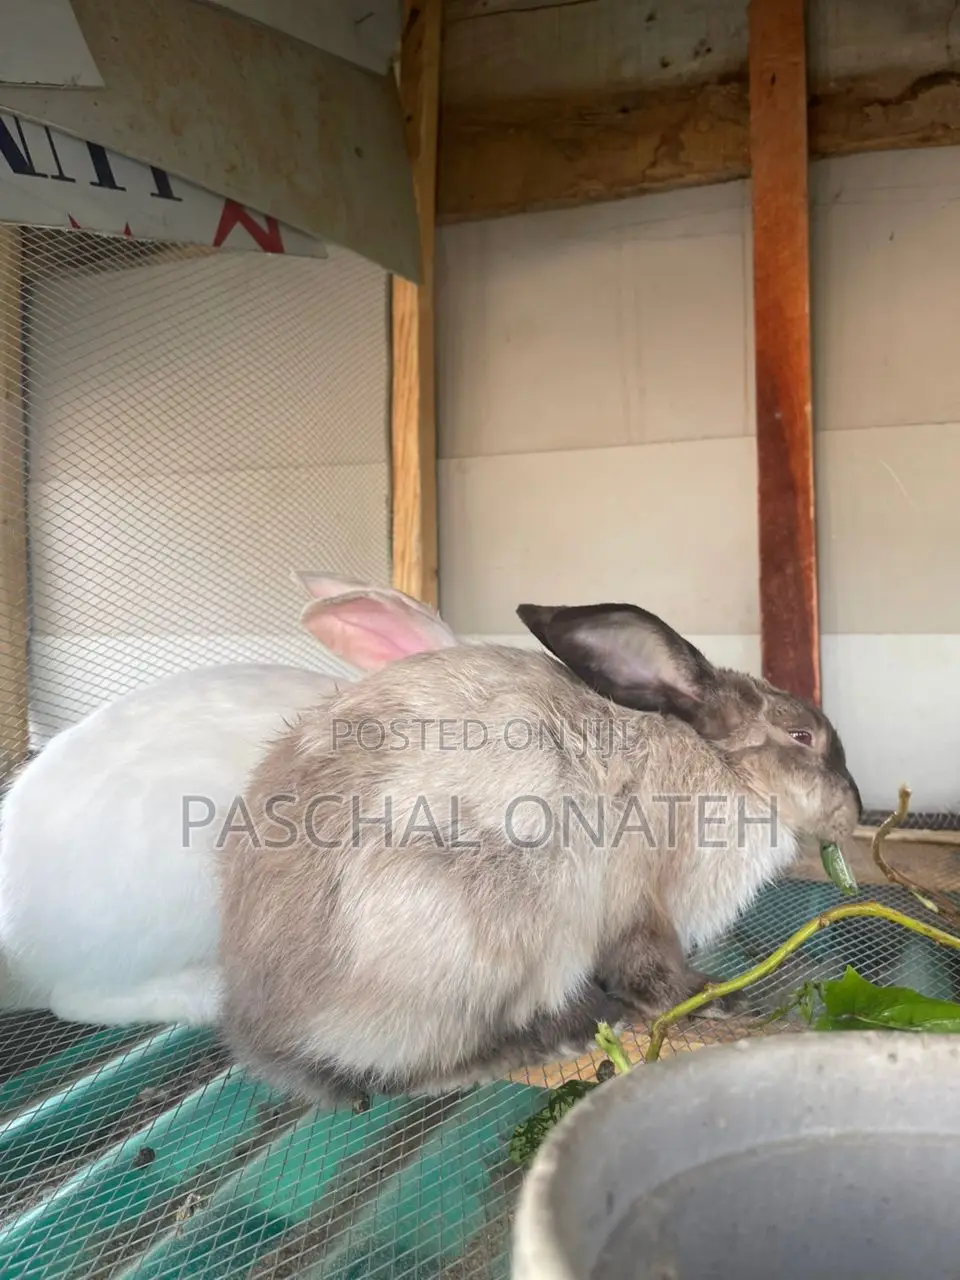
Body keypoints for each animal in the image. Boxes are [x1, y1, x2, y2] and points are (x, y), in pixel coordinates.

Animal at [215, 599, 863, 1110]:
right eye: (802, 737)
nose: (853, 812)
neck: (722, 768)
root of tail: (269, 1035)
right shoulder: (640, 903)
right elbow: (652, 971)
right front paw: (719, 999)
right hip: (472, 940)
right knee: (416, 1068)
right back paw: (563, 1034)